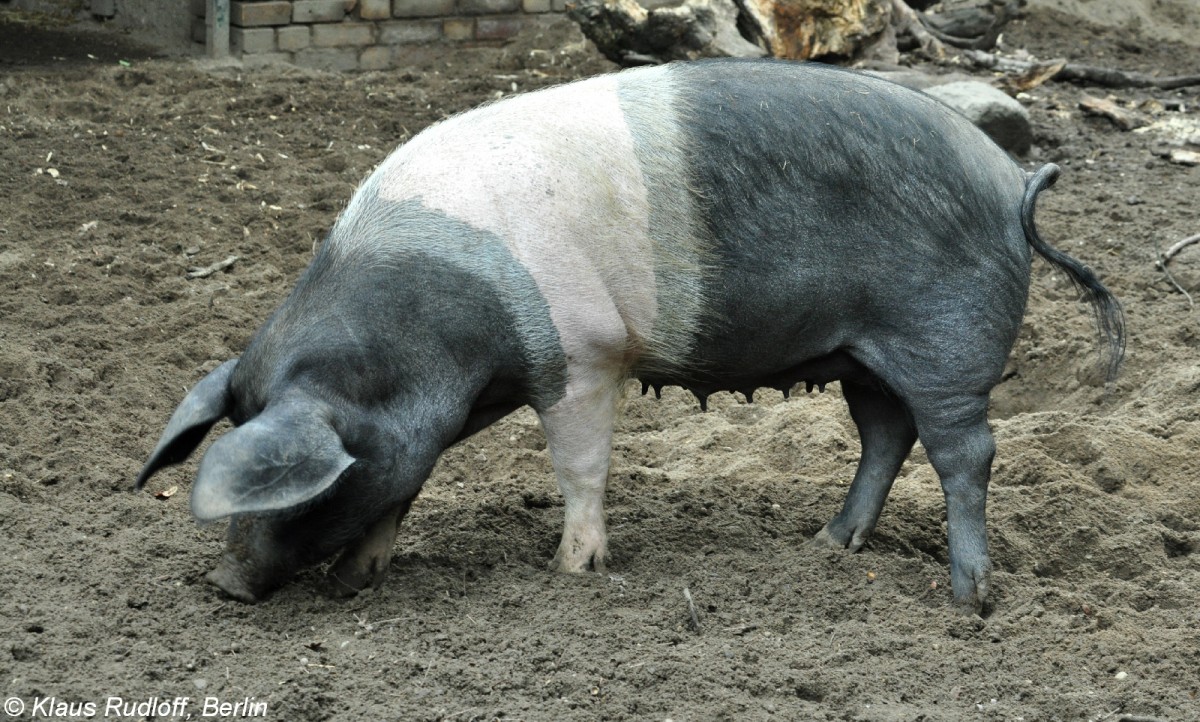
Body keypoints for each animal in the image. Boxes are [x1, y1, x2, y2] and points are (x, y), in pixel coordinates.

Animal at [138, 59, 1123, 609]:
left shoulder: (581, 357)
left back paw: (969, 601)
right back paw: (825, 546)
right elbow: (402, 486)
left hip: (945, 344)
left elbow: (579, 468)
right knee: (886, 436)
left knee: (966, 451)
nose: (225, 586)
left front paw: (572, 573)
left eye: (292, 489)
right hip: (862, 356)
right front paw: (357, 583)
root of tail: (1012, 178)